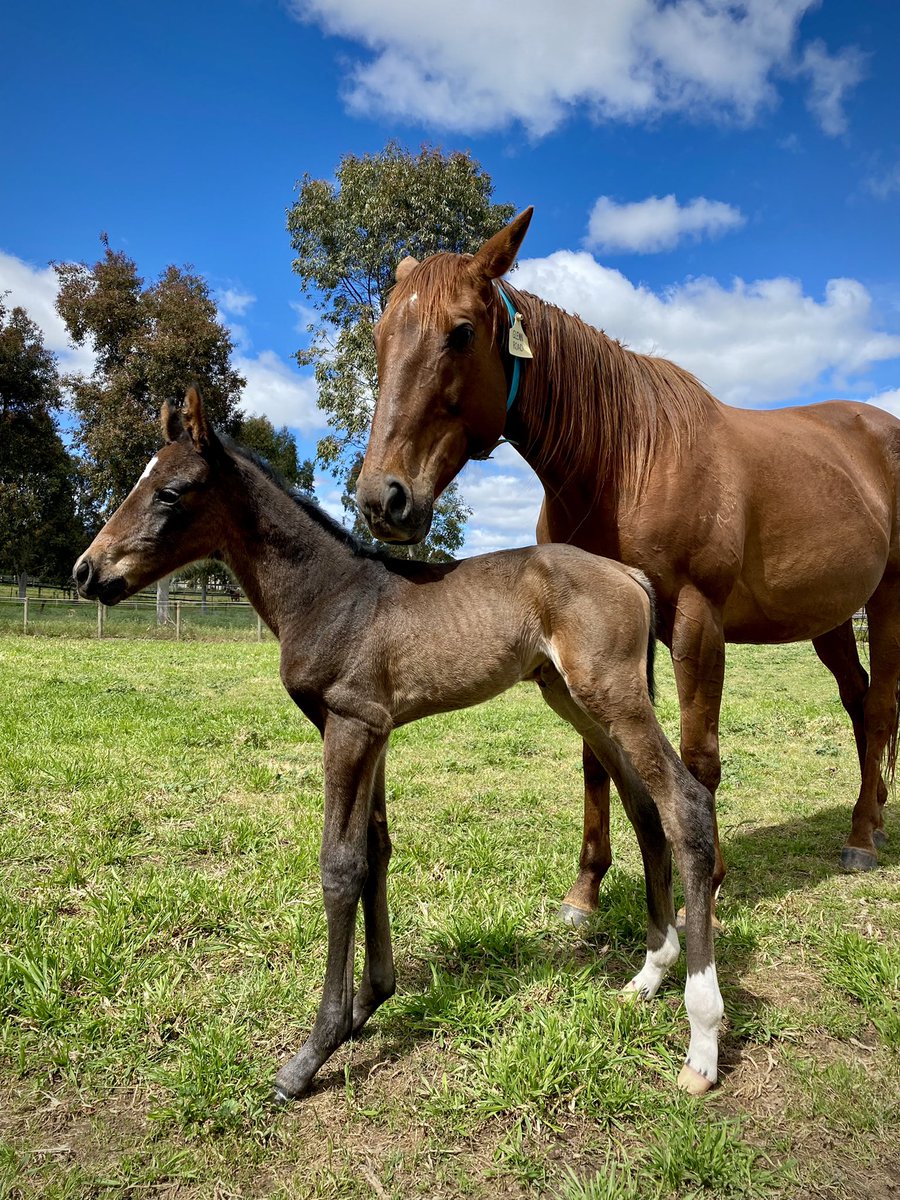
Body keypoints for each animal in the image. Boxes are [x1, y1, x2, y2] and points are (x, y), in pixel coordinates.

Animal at [73, 386, 723, 1098]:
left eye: (169, 492)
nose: (87, 571)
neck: (330, 595)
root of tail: (631, 575)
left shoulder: (349, 725)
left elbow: (340, 867)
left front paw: (313, 1050)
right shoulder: (374, 730)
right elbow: (376, 852)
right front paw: (369, 1001)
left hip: (613, 697)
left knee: (687, 803)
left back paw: (702, 1040)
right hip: (577, 702)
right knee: (645, 807)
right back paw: (650, 972)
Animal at [356, 207, 900, 925]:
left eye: (462, 332)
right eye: (381, 336)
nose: (382, 499)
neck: (629, 462)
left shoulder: (697, 623)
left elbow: (699, 757)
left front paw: (708, 887)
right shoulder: (590, 632)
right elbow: (598, 758)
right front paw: (586, 889)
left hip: (888, 599)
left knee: (881, 705)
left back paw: (862, 837)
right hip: (830, 618)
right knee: (859, 700)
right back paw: (875, 816)